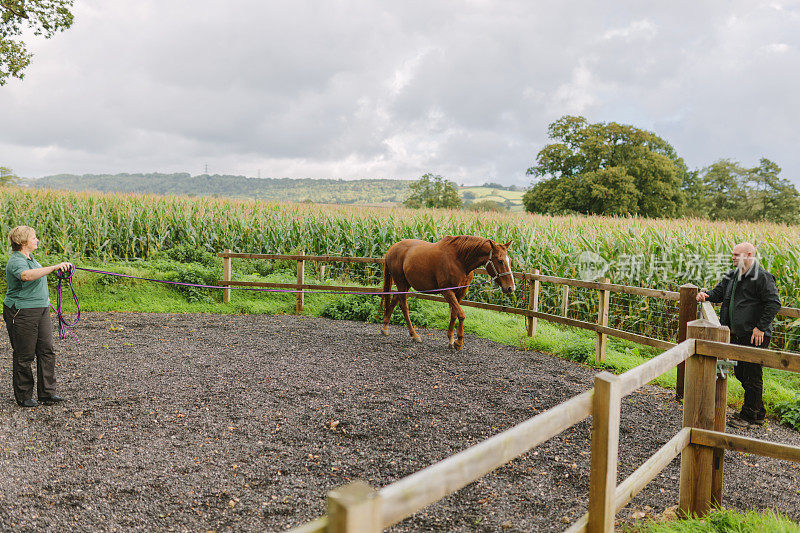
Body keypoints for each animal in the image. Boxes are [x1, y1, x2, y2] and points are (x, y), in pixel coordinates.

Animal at [380, 236, 516, 350]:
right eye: (500, 261)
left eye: (509, 260)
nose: (511, 288)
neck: (459, 260)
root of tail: (392, 248)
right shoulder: (447, 291)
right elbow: (461, 314)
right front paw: (458, 342)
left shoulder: (460, 292)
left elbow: (454, 314)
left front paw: (451, 340)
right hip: (401, 283)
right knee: (404, 307)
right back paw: (414, 335)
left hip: (405, 285)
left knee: (394, 301)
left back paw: (385, 327)